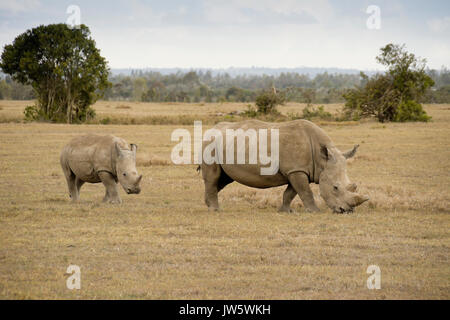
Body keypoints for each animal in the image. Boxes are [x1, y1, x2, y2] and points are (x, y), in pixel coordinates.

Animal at [200, 119, 370, 214]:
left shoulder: (297, 170)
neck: (322, 160)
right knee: (214, 177)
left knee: (223, 179)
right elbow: (305, 192)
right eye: (335, 187)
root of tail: (210, 129)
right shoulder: (296, 170)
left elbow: (291, 192)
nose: (347, 211)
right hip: (210, 143)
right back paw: (215, 210)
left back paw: (208, 205)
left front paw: (286, 211)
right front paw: (315, 211)